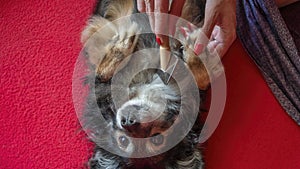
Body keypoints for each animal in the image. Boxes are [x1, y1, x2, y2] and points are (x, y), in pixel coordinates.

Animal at [80, 0, 223, 168]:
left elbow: (202, 80)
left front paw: (193, 50)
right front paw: (123, 42)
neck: (147, 85)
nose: (128, 122)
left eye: (157, 139)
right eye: (123, 140)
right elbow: (102, 71)